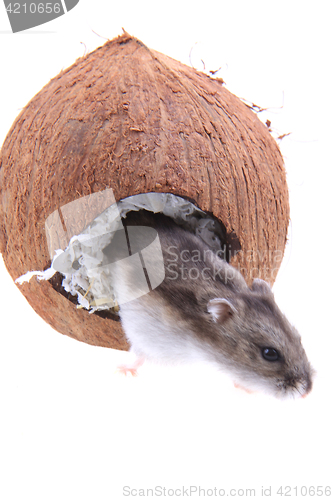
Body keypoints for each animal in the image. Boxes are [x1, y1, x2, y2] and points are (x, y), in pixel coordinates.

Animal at [108, 209, 312, 396]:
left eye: (298, 338)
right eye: (270, 353)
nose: (307, 391)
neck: (201, 344)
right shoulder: (147, 337)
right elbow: (139, 357)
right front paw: (122, 371)